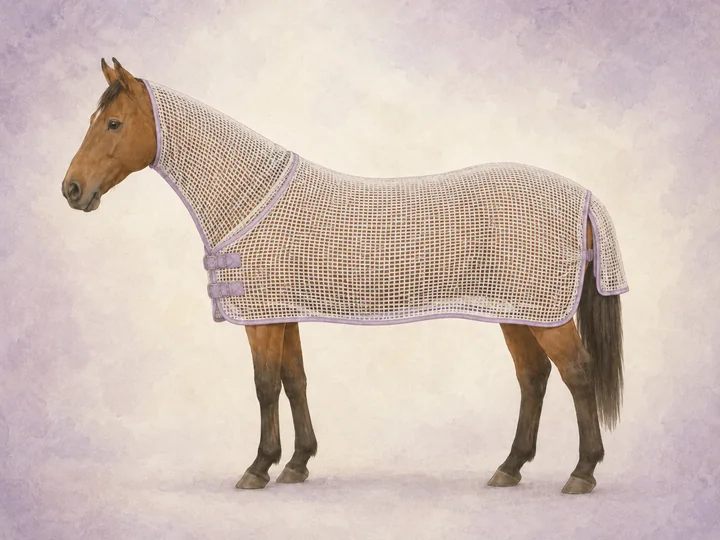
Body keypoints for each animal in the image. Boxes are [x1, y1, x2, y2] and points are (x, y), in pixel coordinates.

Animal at [61, 58, 628, 495]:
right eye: (93, 118)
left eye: (113, 124)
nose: (71, 189)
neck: (250, 196)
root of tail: (583, 195)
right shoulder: (282, 313)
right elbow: (294, 381)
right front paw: (297, 463)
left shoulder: (261, 320)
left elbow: (264, 386)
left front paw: (258, 467)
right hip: (519, 310)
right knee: (533, 379)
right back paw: (509, 468)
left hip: (545, 313)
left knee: (578, 374)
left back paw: (581, 473)